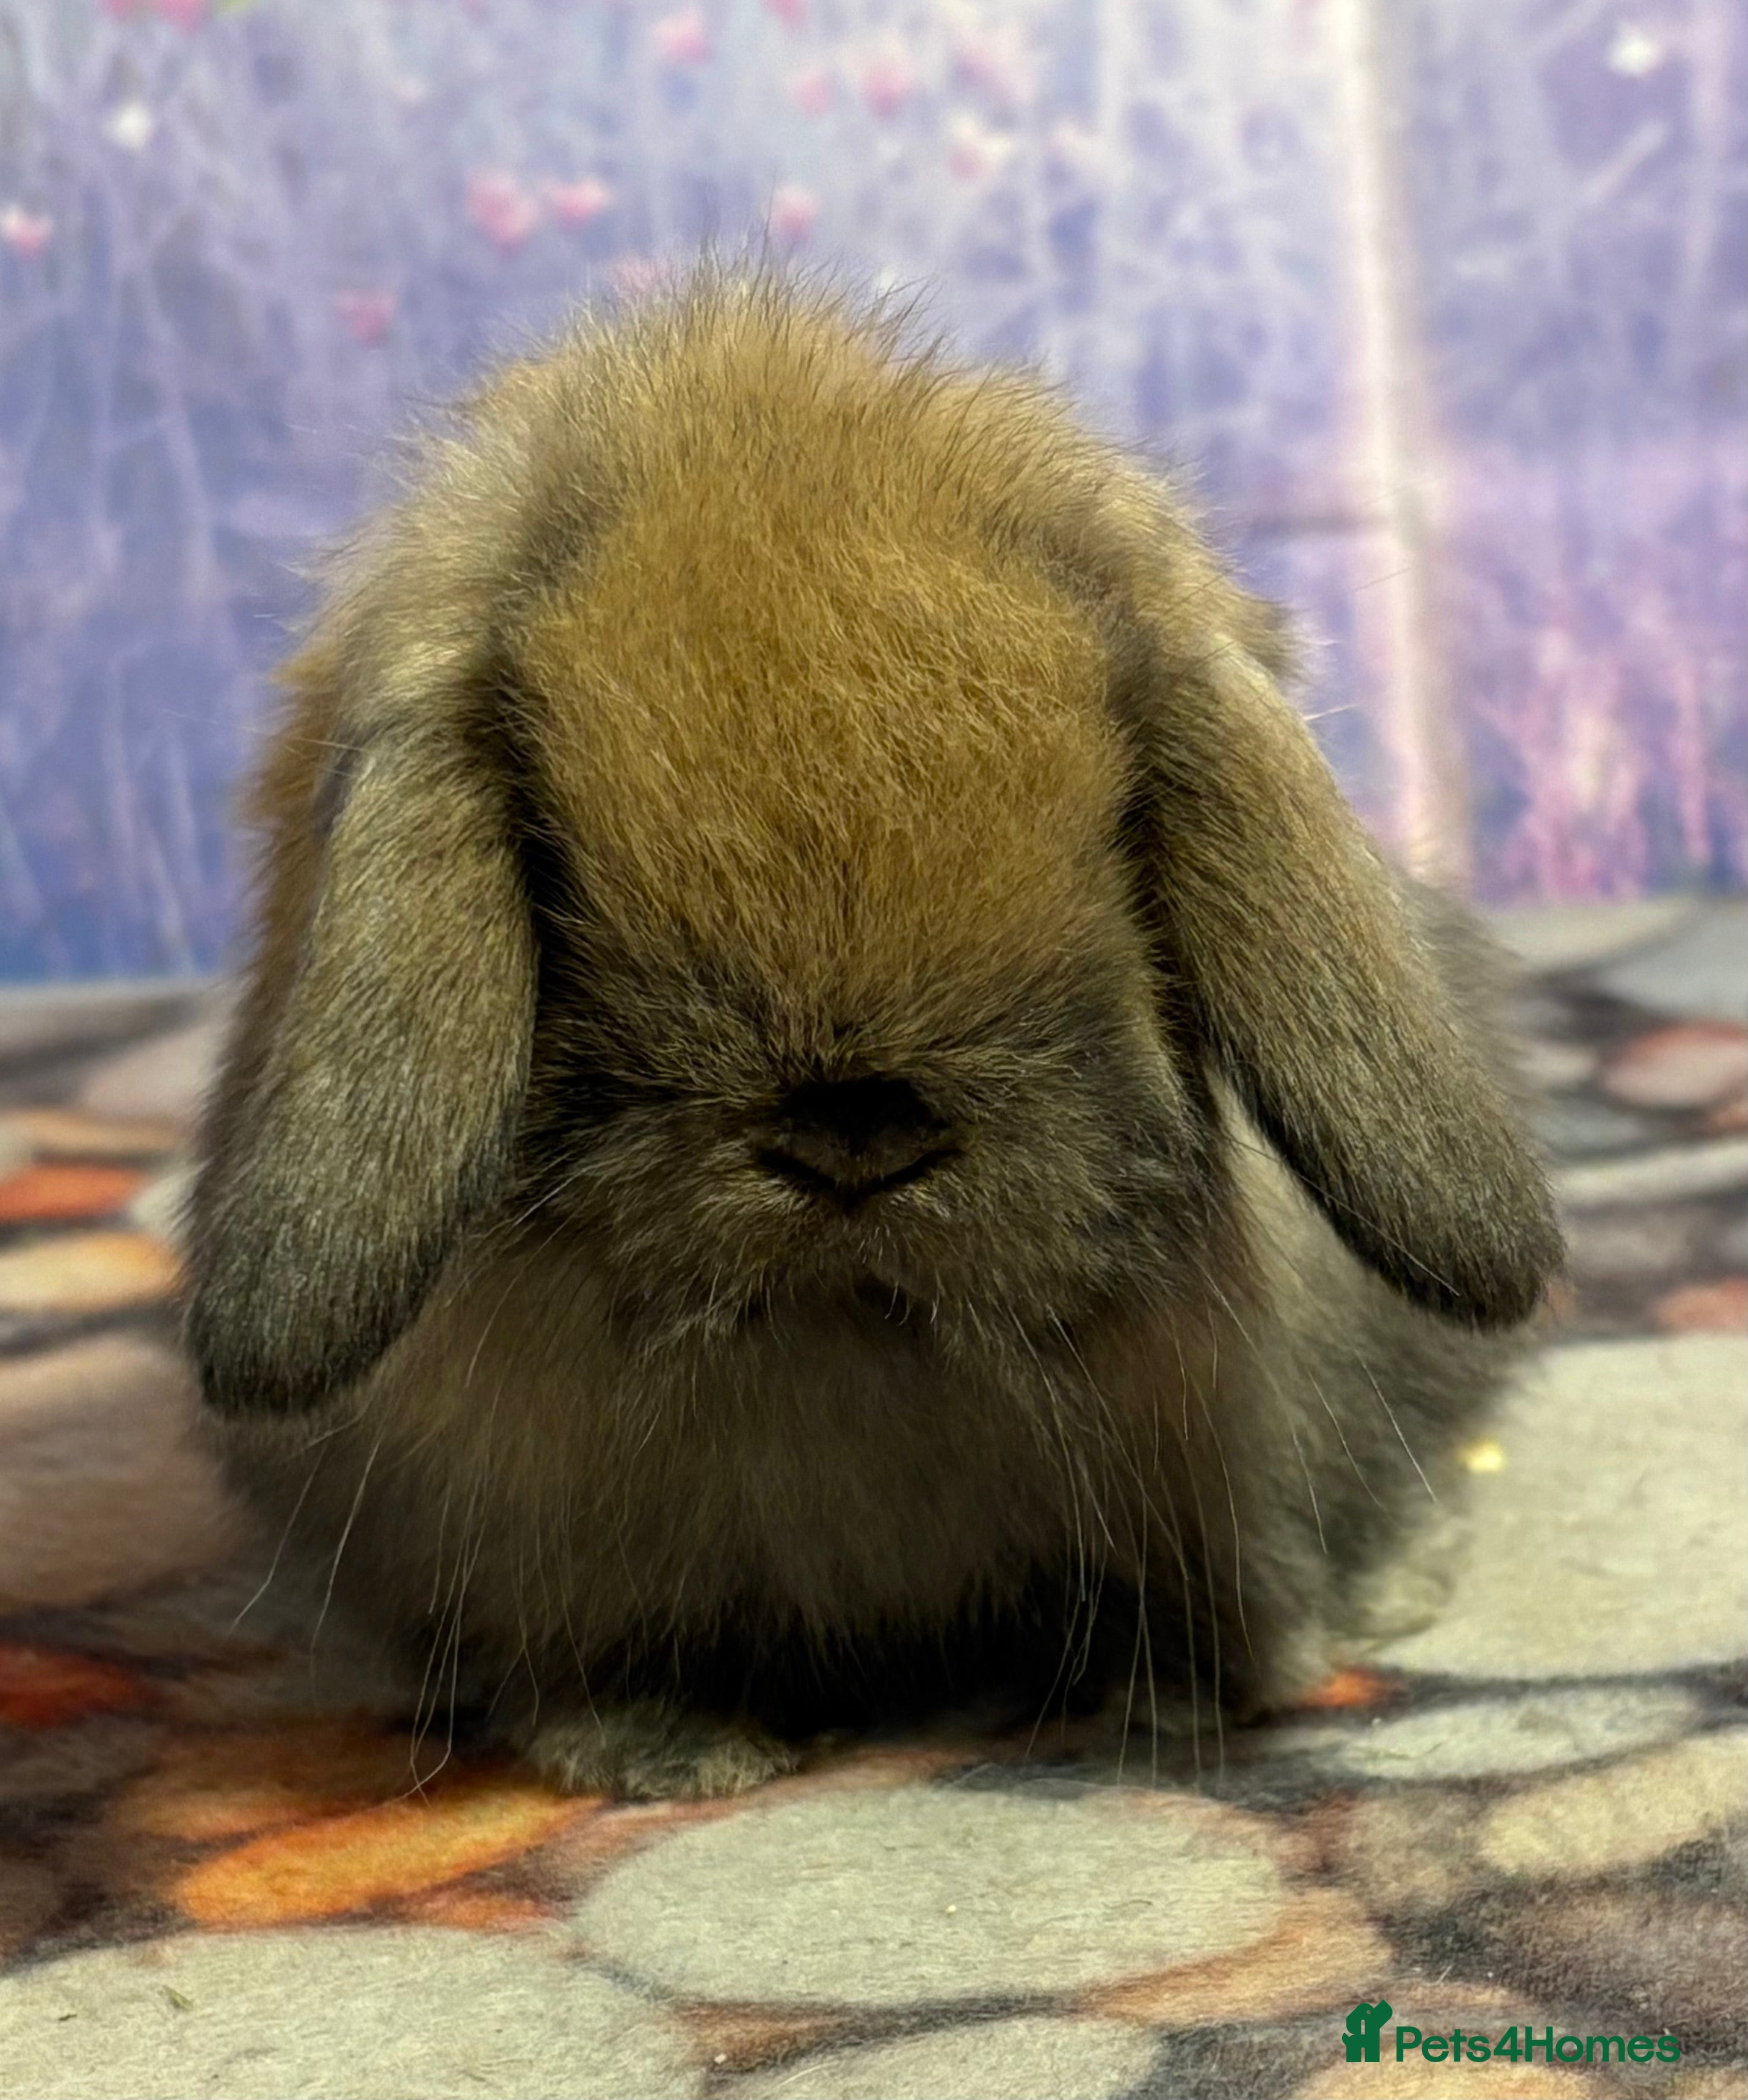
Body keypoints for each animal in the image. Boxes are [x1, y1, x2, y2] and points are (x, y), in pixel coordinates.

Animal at [184, 272, 1563, 1800]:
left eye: (1120, 832)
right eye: (552, 854)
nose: (854, 1133)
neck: (849, 1337)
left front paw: (1183, 1703)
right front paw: (671, 1751)